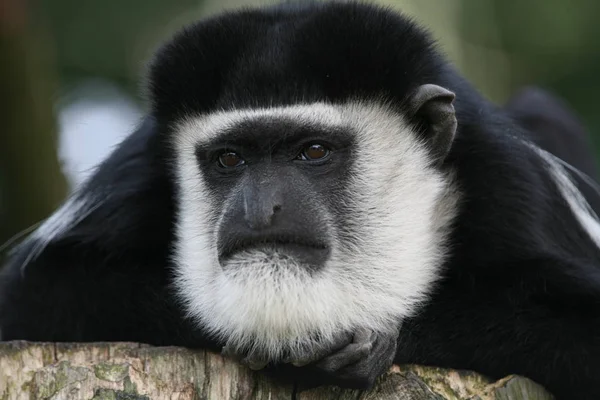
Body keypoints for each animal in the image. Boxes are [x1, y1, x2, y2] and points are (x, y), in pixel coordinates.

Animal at [1, 1, 600, 398]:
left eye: (313, 151)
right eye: (230, 159)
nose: (259, 209)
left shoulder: (510, 183)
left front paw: (371, 342)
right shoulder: (138, 171)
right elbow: (35, 296)